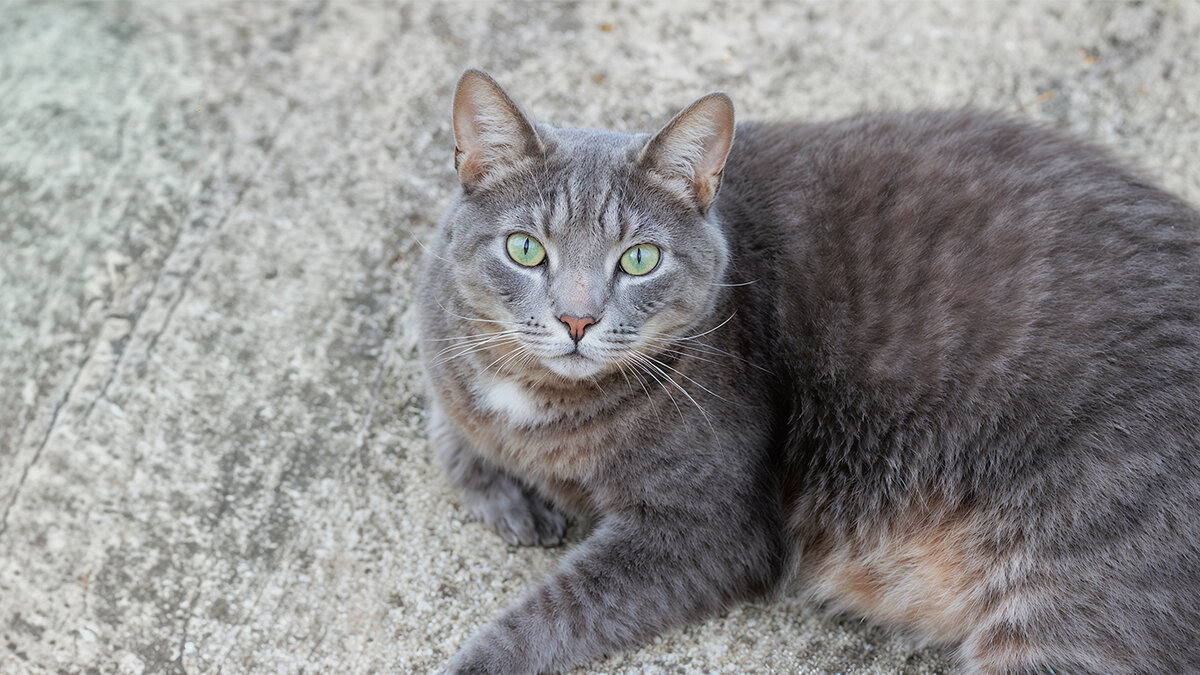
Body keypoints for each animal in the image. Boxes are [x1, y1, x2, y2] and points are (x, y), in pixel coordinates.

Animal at [420, 69, 1200, 672]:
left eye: (639, 259)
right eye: (526, 249)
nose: (577, 320)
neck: (540, 405)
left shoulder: (705, 532)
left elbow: (556, 610)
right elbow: (451, 429)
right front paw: (510, 495)